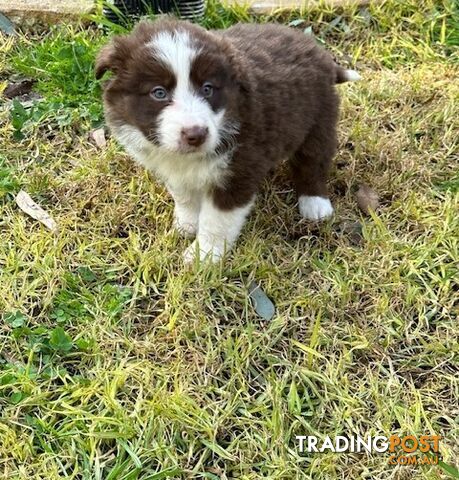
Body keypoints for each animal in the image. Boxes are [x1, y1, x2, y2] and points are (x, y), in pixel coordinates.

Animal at [97, 17, 362, 262]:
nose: (196, 134)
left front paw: (203, 256)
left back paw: (315, 205)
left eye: (207, 89)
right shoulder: (176, 169)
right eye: (158, 93)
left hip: (318, 121)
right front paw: (187, 226)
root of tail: (320, 53)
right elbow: (184, 197)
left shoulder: (238, 170)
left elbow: (217, 220)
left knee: (313, 162)